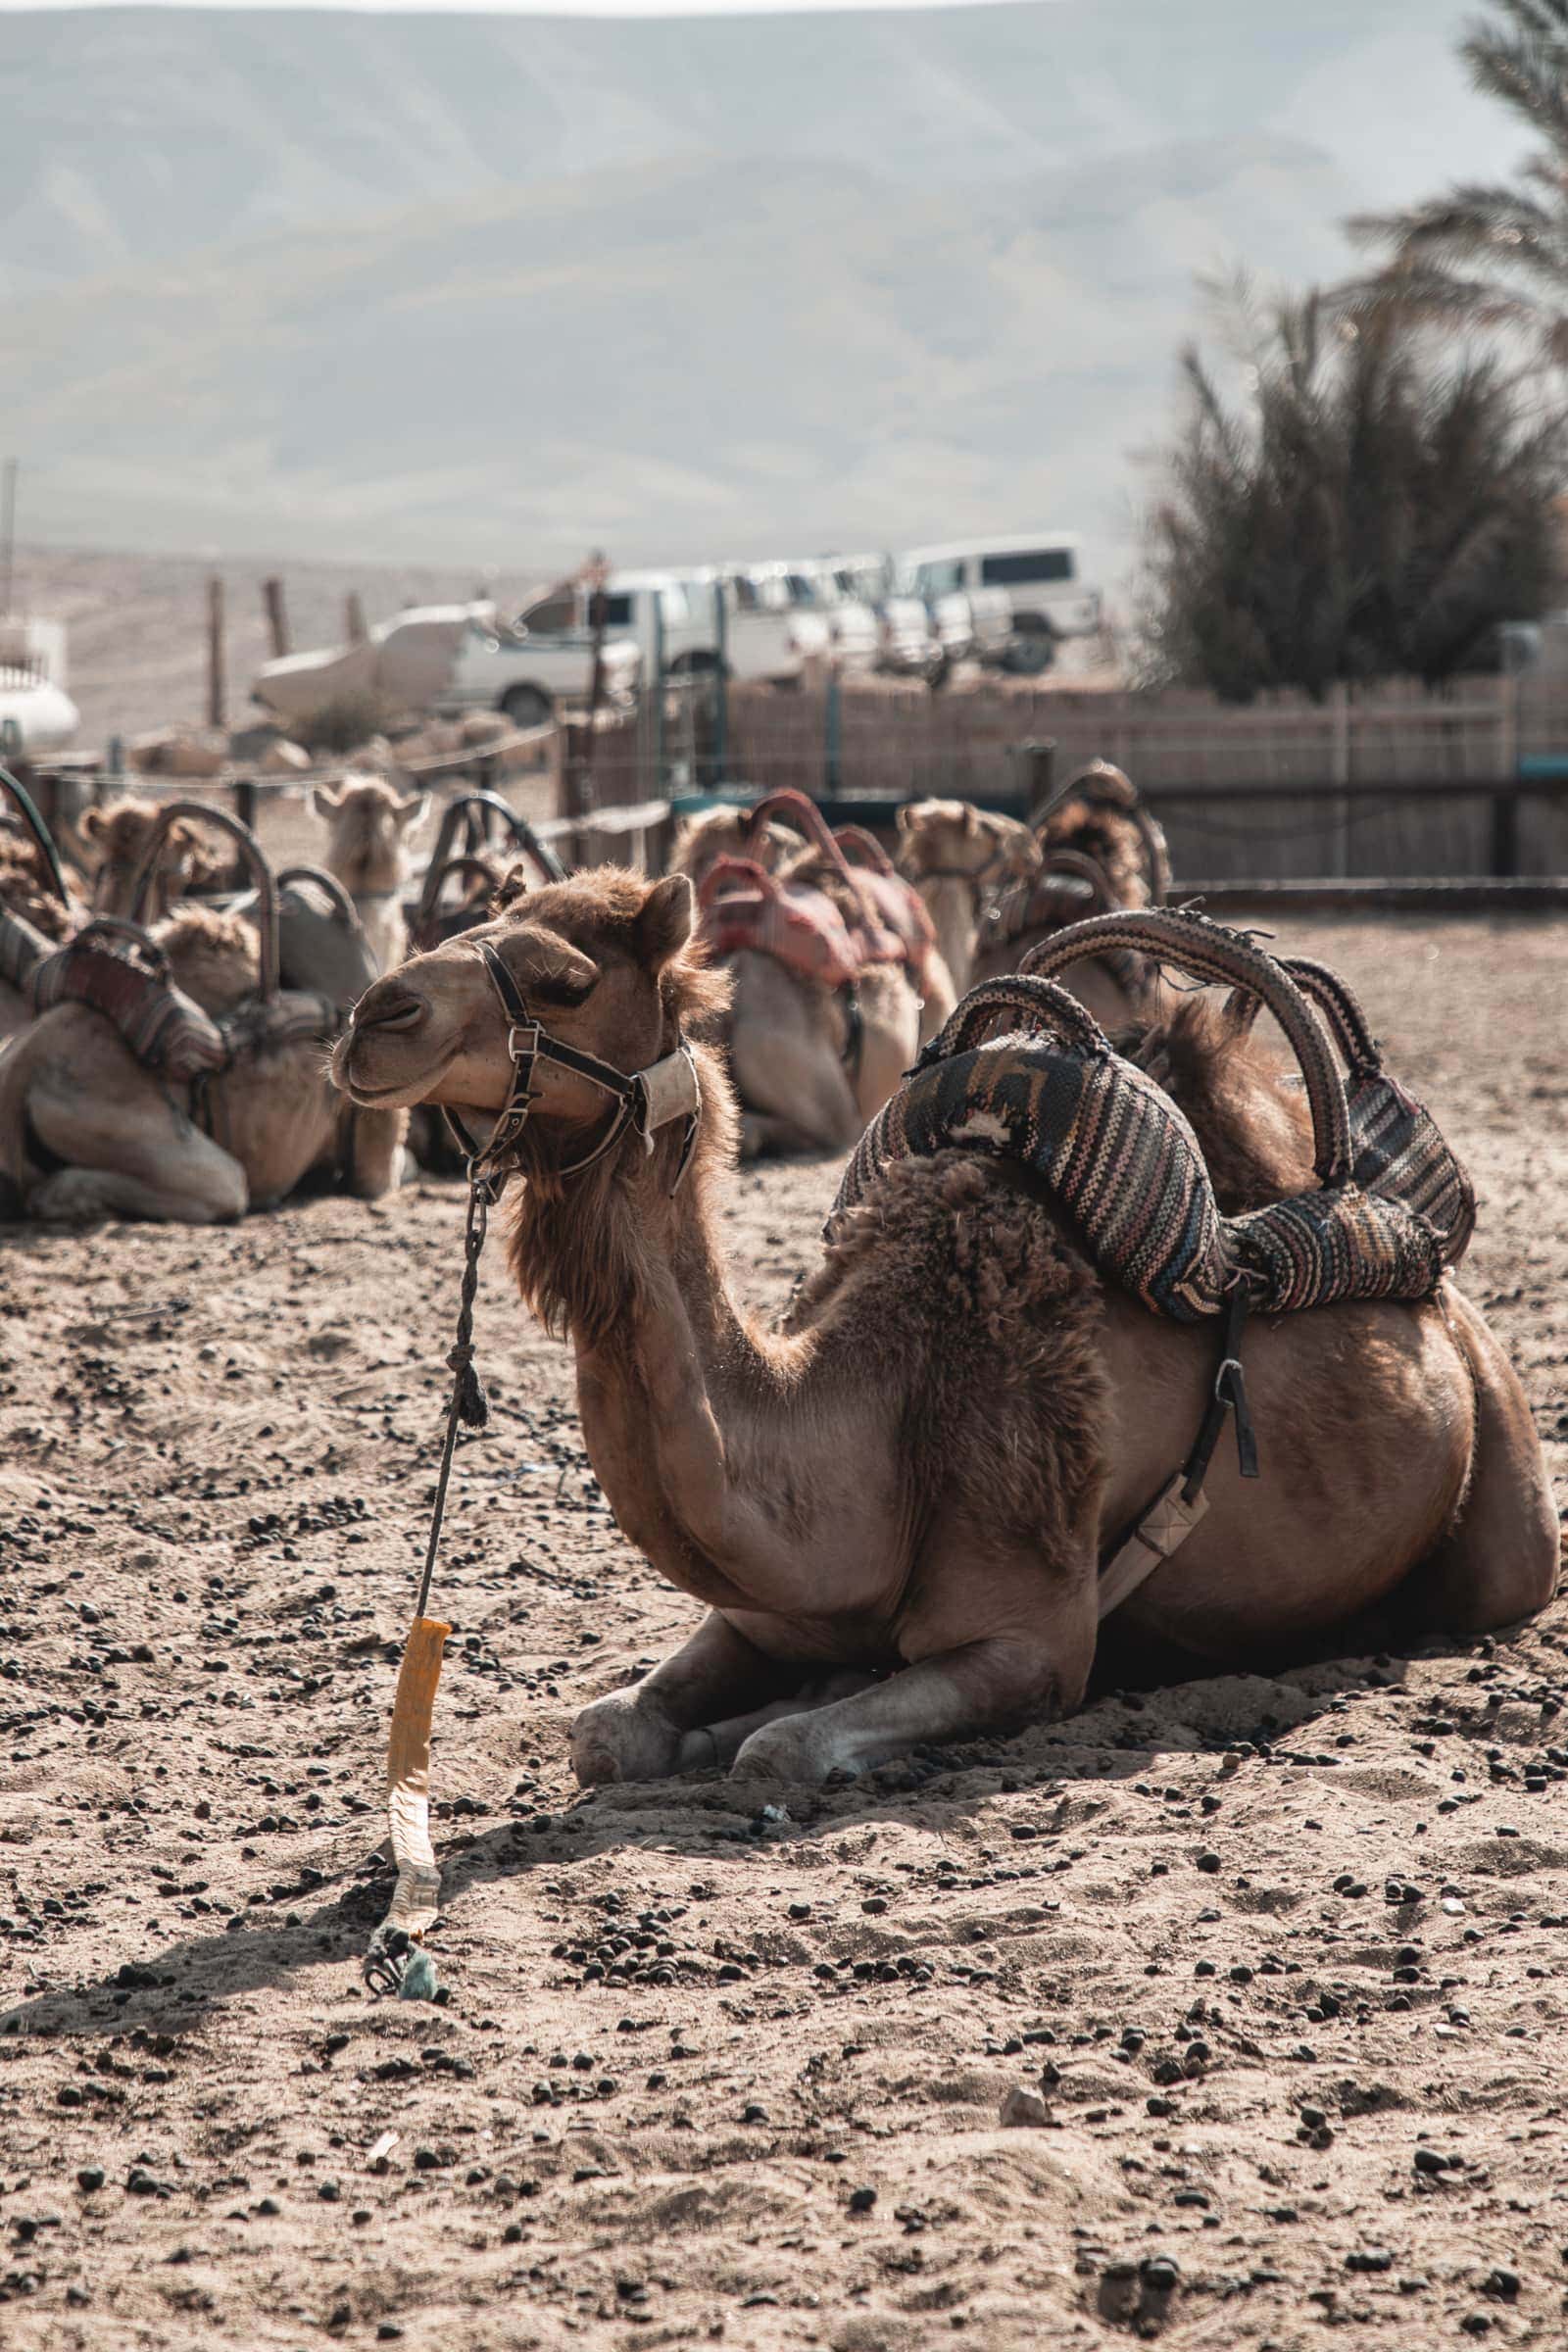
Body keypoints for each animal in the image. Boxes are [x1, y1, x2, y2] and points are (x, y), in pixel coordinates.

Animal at [332, 869, 1556, 1786]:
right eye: (453, 930)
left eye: (565, 980)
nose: (371, 1018)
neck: (874, 1416)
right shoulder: (762, 1611)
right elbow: (607, 1732)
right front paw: (715, 1717)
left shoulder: (1032, 1640)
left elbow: (782, 1749)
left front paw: (763, 1727)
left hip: (1502, 1498)